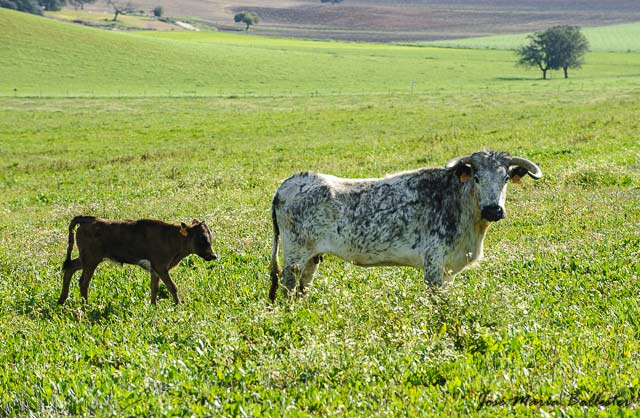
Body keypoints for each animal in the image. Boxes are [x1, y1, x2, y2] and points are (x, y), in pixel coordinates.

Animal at [58, 217, 218, 306]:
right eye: (202, 238)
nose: (213, 255)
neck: (171, 238)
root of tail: (88, 219)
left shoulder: (155, 269)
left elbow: (154, 287)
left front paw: (153, 306)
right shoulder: (161, 267)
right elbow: (172, 287)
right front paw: (179, 306)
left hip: (86, 259)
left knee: (69, 269)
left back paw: (62, 300)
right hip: (91, 260)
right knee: (83, 281)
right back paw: (86, 305)